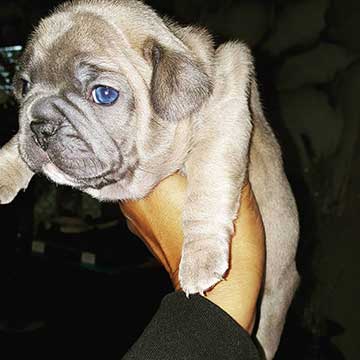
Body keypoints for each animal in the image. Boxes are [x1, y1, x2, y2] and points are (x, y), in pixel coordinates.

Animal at [0, 1, 298, 358]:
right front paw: (4, 169)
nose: (40, 127)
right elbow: (16, 146)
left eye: (103, 94)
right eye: (25, 86)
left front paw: (200, 258)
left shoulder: (226, 108)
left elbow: (209, 182)